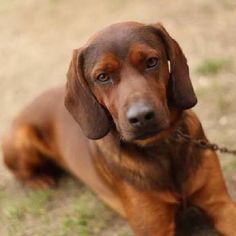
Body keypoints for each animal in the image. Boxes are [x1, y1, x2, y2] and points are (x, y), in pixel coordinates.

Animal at [1, 21, 236, 235]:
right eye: (103, 77)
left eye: (152, 62)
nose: (141, 116)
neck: (161, 148)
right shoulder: (153, 228)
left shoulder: (221, 205)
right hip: (22, 139)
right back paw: (39, 180)